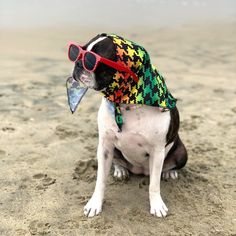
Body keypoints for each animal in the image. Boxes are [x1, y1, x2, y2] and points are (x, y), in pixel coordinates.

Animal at [68, 33, 188, 218]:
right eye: (79, 52)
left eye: (92, 59)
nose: (78, 64)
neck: (127, 103)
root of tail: (140, 170)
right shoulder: (105, 146)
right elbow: (100, 180)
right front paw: (95, 203)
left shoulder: (157, 151)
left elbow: (154, 185)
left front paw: (157, 205)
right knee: (118, 161)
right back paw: (121, 170)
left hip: (182, 152)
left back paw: (170, 171)